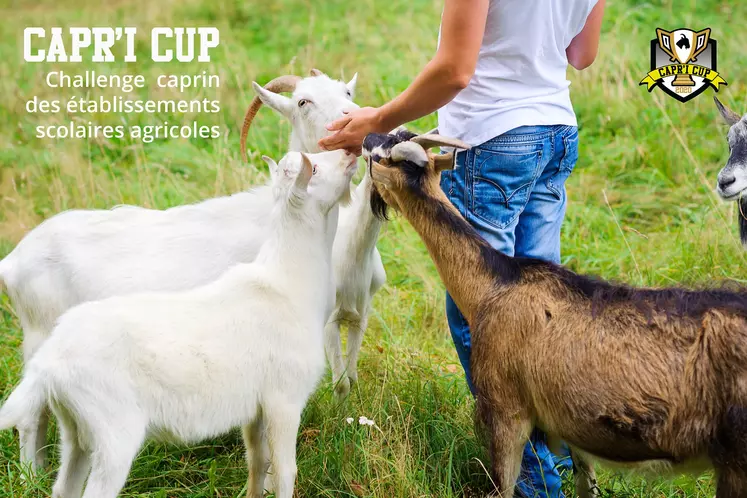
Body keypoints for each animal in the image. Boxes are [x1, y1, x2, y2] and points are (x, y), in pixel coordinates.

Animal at [0, 69, 360, 470]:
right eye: (303, 101)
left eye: (346, 91)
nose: (349, 117)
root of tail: (12, 261)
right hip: (38, 333)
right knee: (30, 417)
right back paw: (32, 474)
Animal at [366, 130, 747, 496]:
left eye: (381, 156)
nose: (367, 138)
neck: (492, 286)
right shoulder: (573, 425)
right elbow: (585, 485)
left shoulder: (506, 407)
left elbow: (502, 487)